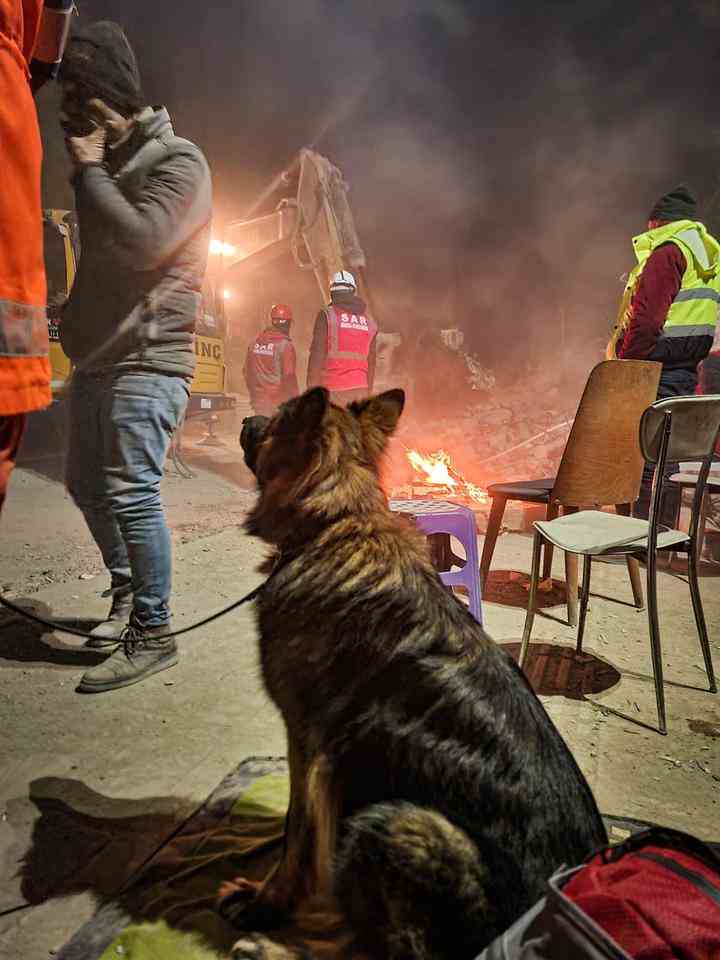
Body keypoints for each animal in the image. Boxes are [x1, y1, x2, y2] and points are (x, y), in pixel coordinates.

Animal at [226, 386, 608, 956]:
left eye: (275, 421)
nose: (246, 417)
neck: (336, 524)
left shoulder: (308, 742)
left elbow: (298, 833)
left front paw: (266, 903)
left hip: (397, 824)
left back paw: (272, 947)